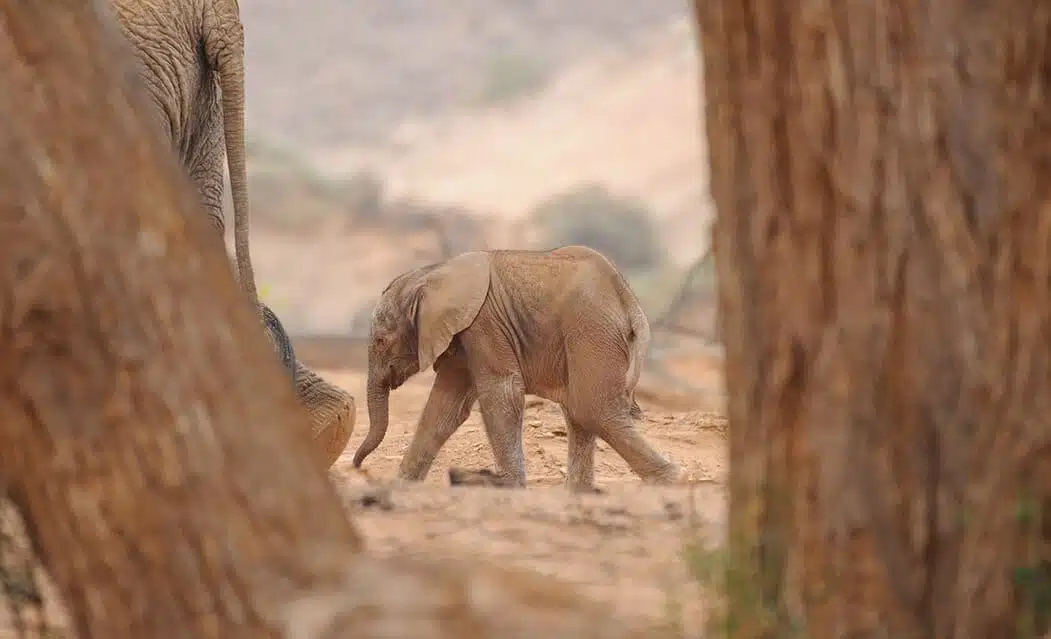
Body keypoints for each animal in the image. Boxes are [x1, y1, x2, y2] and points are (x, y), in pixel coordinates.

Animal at [352, 245, 686, 492]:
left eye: (381, 341)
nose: (358, 467)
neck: (431, 274)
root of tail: (628, 298)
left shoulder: (484, 324)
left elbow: (502, 390)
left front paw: (509, 486)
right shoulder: (463, 334)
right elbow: (446, 406)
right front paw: (401, 486)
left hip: (592, 329)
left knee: (591, 408)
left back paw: (672, 481)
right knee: (579, 412)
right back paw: (579, 492)